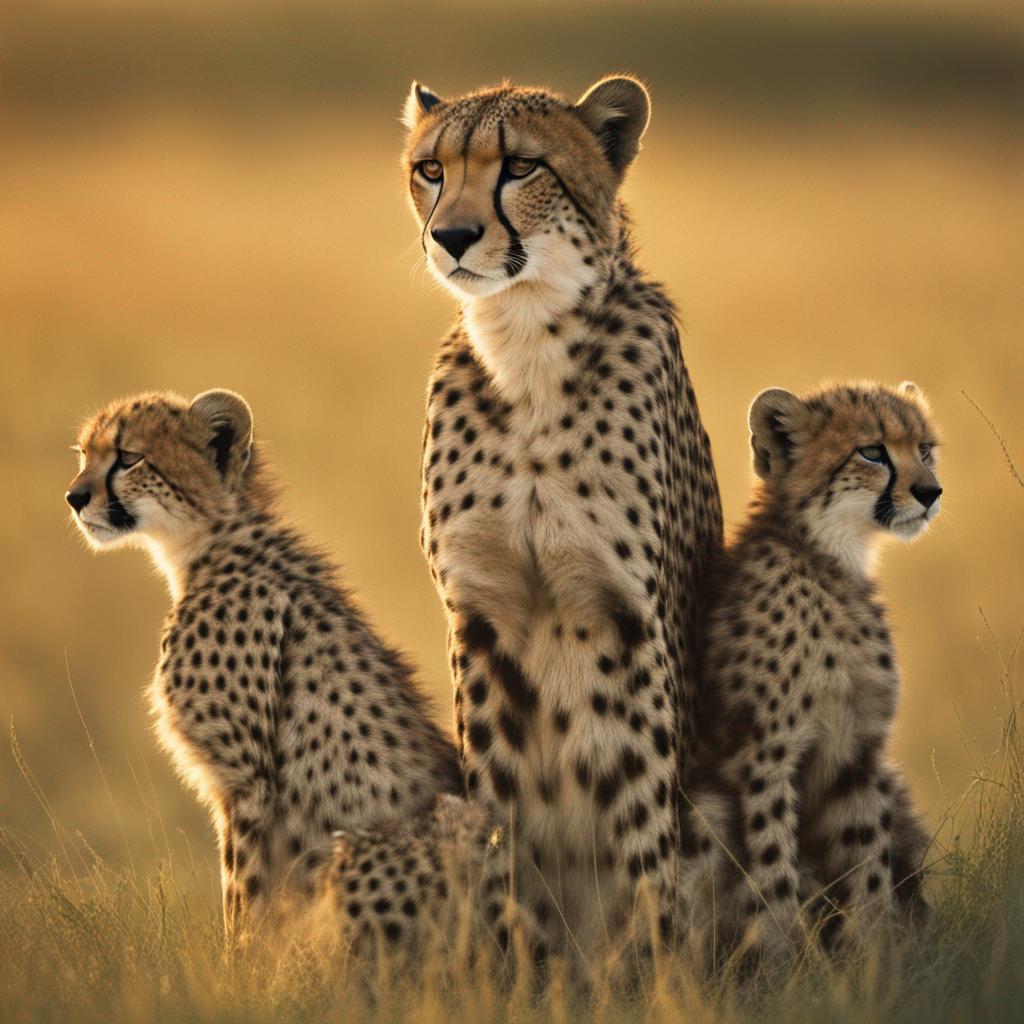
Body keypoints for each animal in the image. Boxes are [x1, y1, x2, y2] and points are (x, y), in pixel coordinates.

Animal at [65, 388, 462, 935]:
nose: (74, 497)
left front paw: (237, 960)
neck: (207, 543)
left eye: (128, 458)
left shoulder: (246, 784)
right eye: (84, 454)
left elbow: (243, 897)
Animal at [403, 75, 724, 964]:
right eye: (431, 169)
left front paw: (654, 967)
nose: (452, 236)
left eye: (521, 167)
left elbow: (641, 817)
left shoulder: (631, 623)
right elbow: (500, 816)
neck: (525, 345)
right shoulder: (479, 621)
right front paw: (512, 964)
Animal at [678, 380, 939, 975]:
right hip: (706, 806)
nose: (931, 491)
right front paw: (783, 965)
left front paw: (878, 957)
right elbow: (773, 859)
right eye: (873, 452)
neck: (828, 558)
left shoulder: (858, 755)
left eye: (925, 449)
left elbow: (868, 858)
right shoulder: (763, 754)